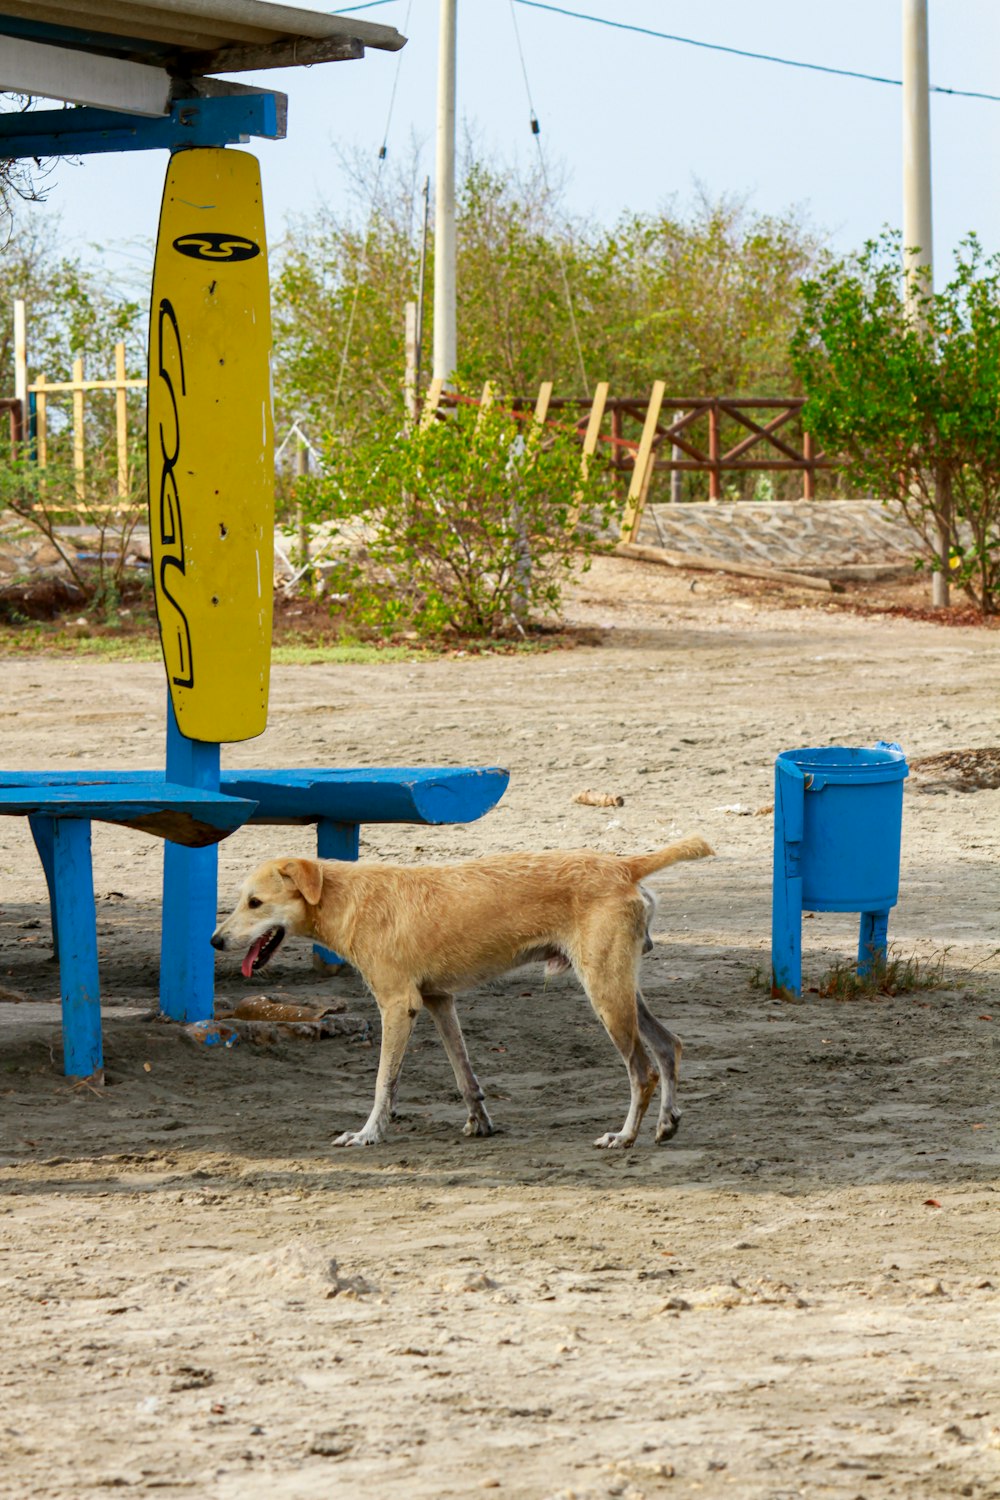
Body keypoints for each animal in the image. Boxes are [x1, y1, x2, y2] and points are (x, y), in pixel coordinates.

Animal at [211, 846, 710, 1146]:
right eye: (242, 900)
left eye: (255, 902)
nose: (215, 941)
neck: (347, 897)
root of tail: (623, 865)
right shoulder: (438, 1001)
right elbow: (464, 1075)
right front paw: (479, 1123)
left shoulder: (398, 1006)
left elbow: (384, 1083)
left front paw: (368, 1134)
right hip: (620, 988)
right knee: (669, 1046)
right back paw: (666, 1123)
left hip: (605, 993)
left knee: (642, 1071)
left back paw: (625, 1137)